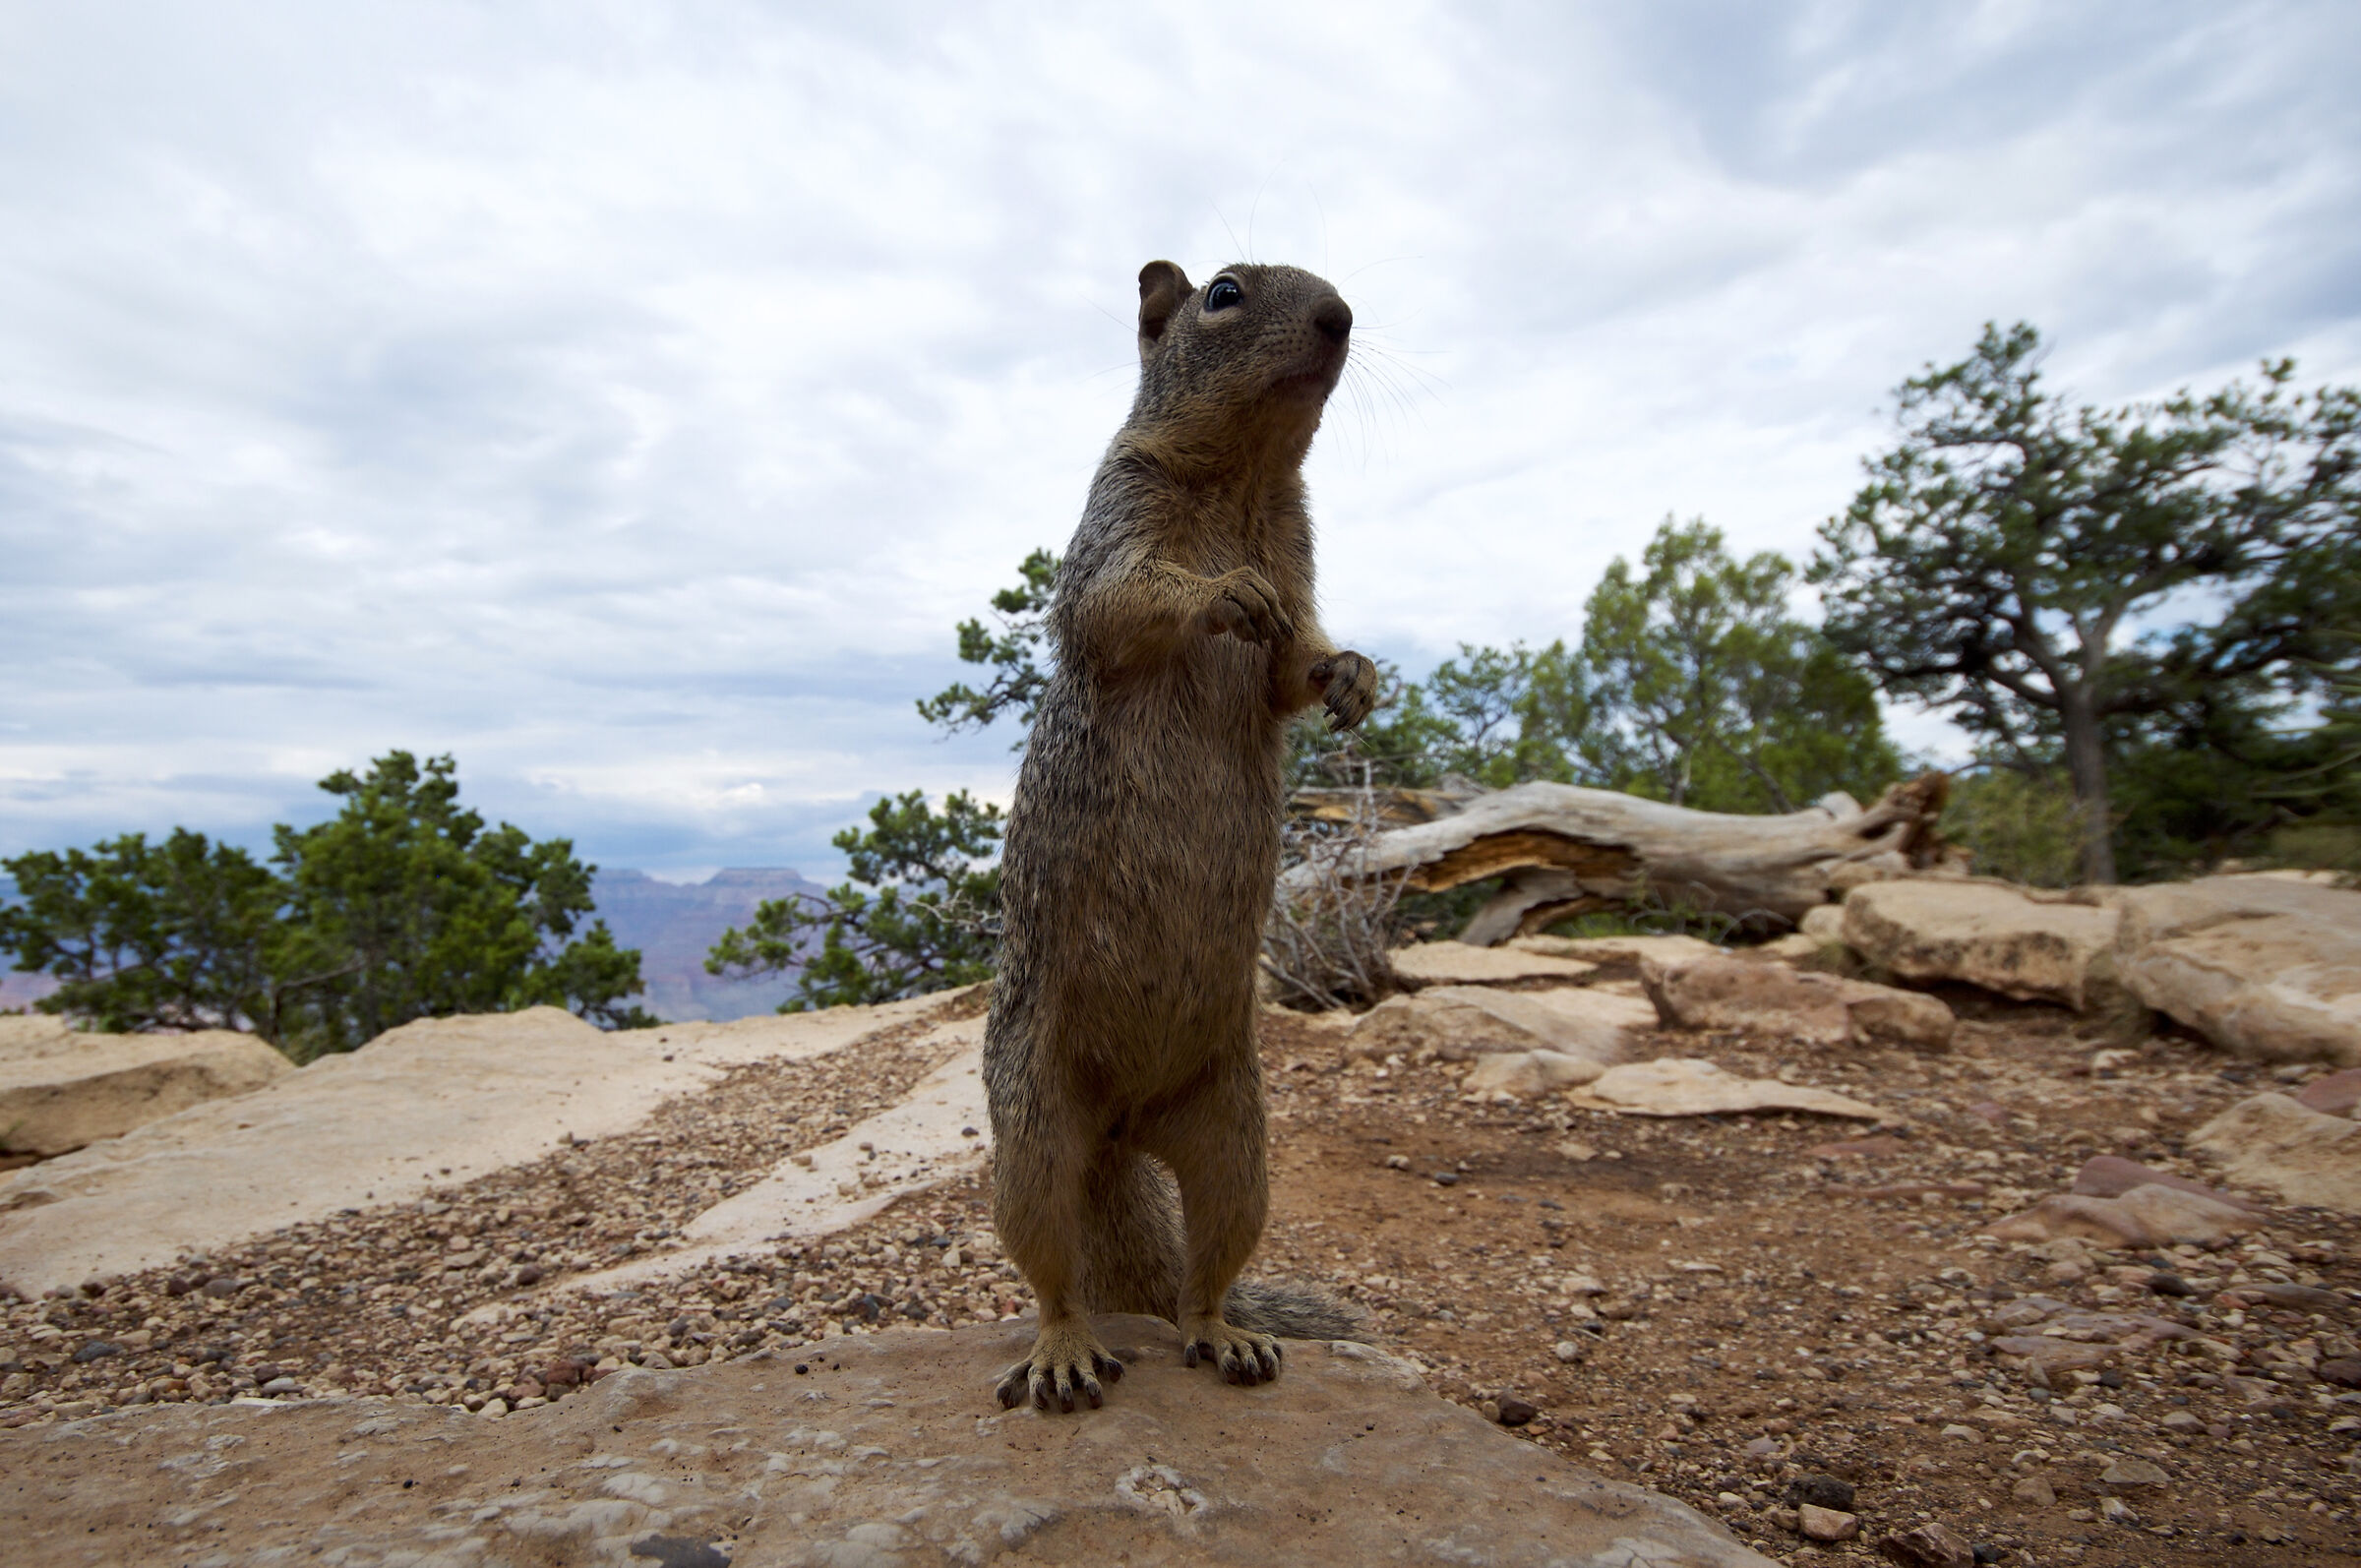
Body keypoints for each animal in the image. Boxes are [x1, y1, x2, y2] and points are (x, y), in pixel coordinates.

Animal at [982, 260, 1381, 1414]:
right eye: (1226, 292)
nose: (1341, 316)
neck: (1244, 476)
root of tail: (1119, 1131)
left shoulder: (1300, 550)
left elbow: (1293, 664)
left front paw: (1353, 674)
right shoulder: (1115, 514)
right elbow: (1122, 602)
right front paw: (1222, 593)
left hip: (1237, 1137)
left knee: (1208, 1272)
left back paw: (1229, 1336)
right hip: (1031, 1129)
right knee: (1052, 1275)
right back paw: (1064, 1355)